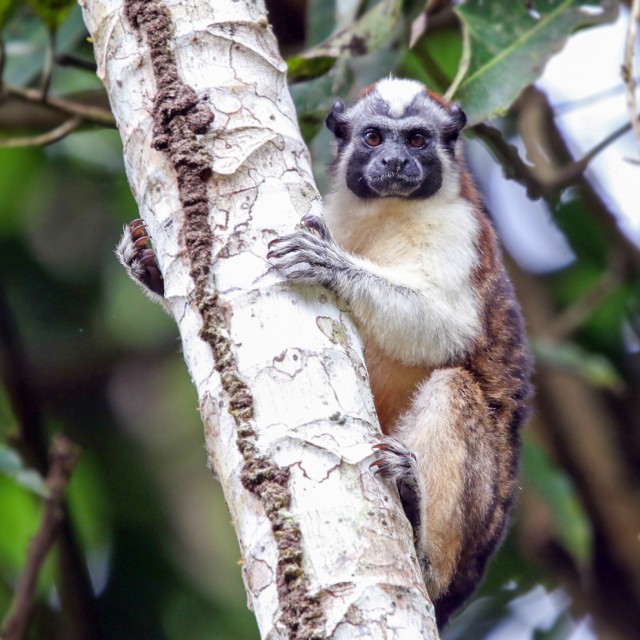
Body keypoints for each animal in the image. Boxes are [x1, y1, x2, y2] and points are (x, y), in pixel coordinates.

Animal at [267, 77, 533, 627]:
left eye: (415, 140)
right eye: (373, 138)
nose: (393, 162)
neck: (388, 214)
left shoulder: (461, 232)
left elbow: (451, 330)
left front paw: (334, 267)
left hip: (483, 510)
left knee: (456, 386)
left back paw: (420, 532)